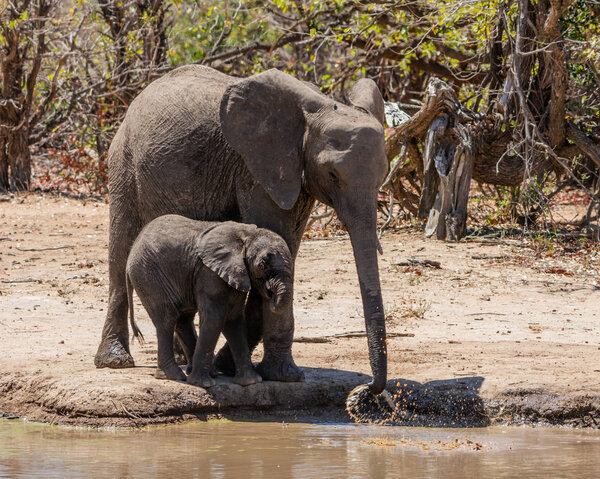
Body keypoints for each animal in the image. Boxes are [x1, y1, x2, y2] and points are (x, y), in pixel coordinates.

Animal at [126, 216, 296, 388]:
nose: (270, 296)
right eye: (262, 264)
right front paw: (203, 384)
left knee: (183, 319)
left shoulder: (234, 274)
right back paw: (173, 376)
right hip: (147, 275)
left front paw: (251, 381)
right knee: (167, 318)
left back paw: (207, 372)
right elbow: (215, 318)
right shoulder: (209, 272)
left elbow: (234, 320)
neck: (247, 235)